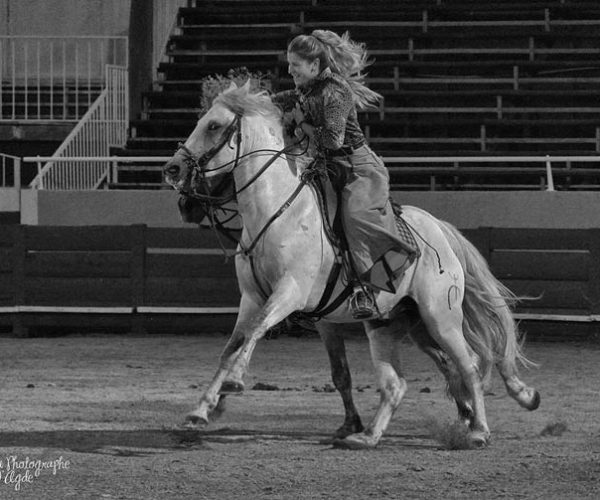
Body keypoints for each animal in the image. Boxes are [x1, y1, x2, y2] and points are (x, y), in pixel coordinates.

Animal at [163, 82, 540, 450]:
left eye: (213, 126)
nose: (173, 170)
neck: (278, 213)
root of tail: (439, 230)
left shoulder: (288, 294)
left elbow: (255, 332)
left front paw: (234, 382)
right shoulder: (256, 299)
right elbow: (236, 348)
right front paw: (202, 409)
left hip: (441, 318)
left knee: (469, 366)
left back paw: (478, 431)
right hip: (399, 325)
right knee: (412, 379)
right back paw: (391, 431)